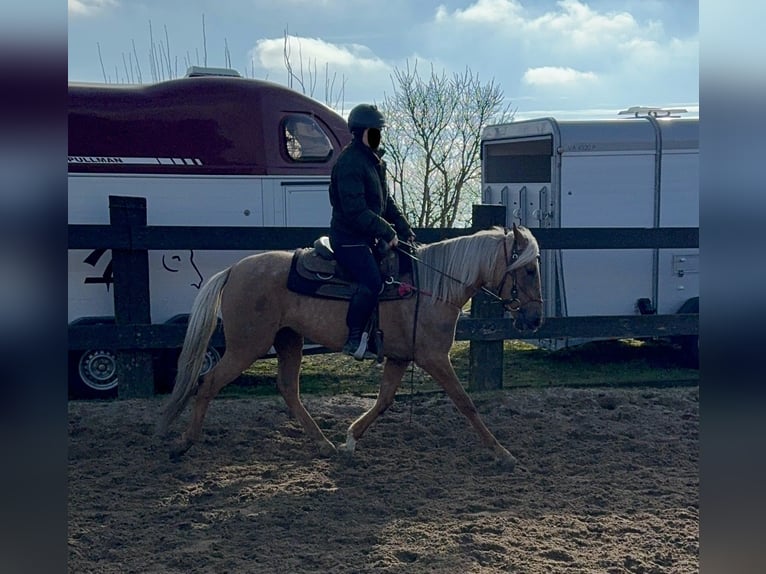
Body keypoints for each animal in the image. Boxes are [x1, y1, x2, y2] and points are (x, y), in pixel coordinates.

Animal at [156, 225, 544, 472]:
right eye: (528, 270)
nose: (536, 318)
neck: (431, 288)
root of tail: (234, 269)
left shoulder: (400, 358)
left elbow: (384, 401)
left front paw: (349, 441)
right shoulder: (434, 358)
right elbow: (466, 404)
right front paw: (503, 454)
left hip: (289, 340)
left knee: (289, 390)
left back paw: (324, 445)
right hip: (245, 347)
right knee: (207, 384)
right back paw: (182, 443)